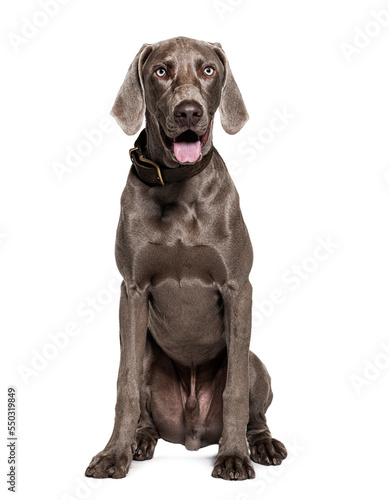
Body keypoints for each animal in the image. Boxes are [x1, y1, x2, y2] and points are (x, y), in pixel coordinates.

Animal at [85, 35, 284, 480]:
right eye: (161, 70)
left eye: (208, 69)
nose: (188, 110)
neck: (176, 186)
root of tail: (193, 434)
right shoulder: (132, 291)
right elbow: (124, 386)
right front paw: (113, 454)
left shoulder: (238, 288)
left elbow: (234, 390)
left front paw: (234, 456)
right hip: (147, 356)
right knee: (144, 407)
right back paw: (140, 441)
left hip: (255, 361)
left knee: (256, 410)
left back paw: (260, 445)